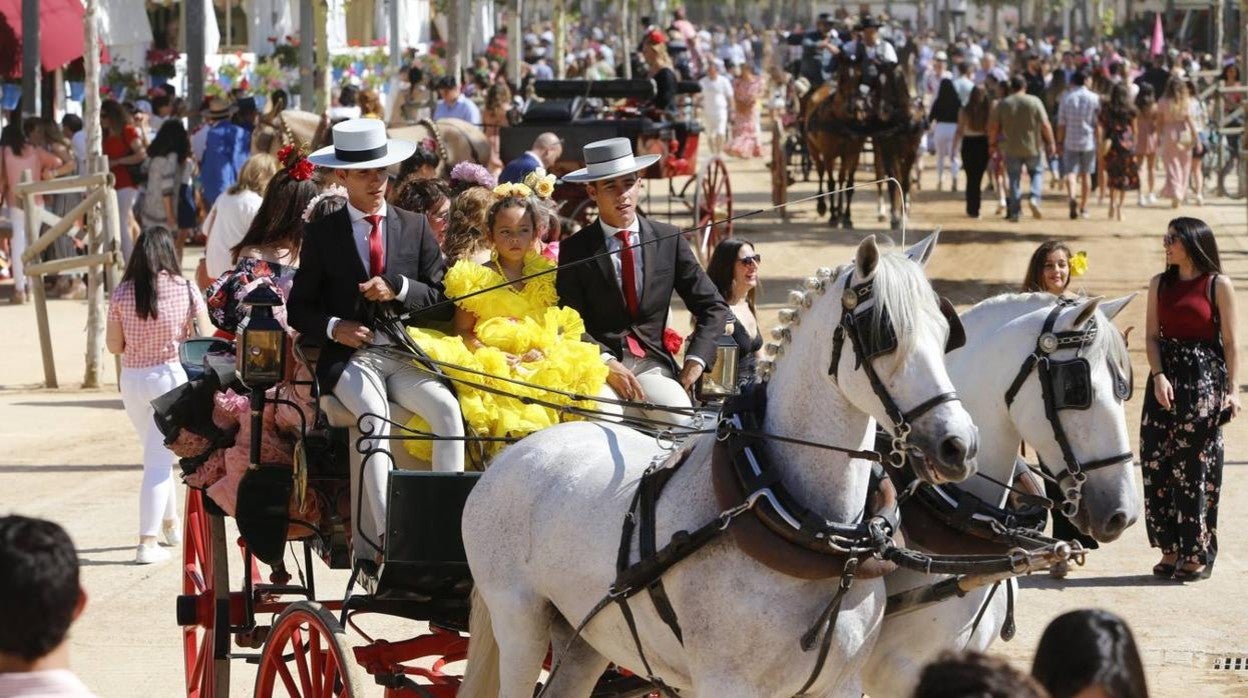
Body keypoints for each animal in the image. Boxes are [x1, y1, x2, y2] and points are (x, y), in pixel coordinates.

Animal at [461, 235, 983, 698]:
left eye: (945, 333)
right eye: (883, 336)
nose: (958, 445)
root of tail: (514, 454)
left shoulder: (842, 685)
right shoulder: (726, 684)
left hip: (585, 636)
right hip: (520, 622)